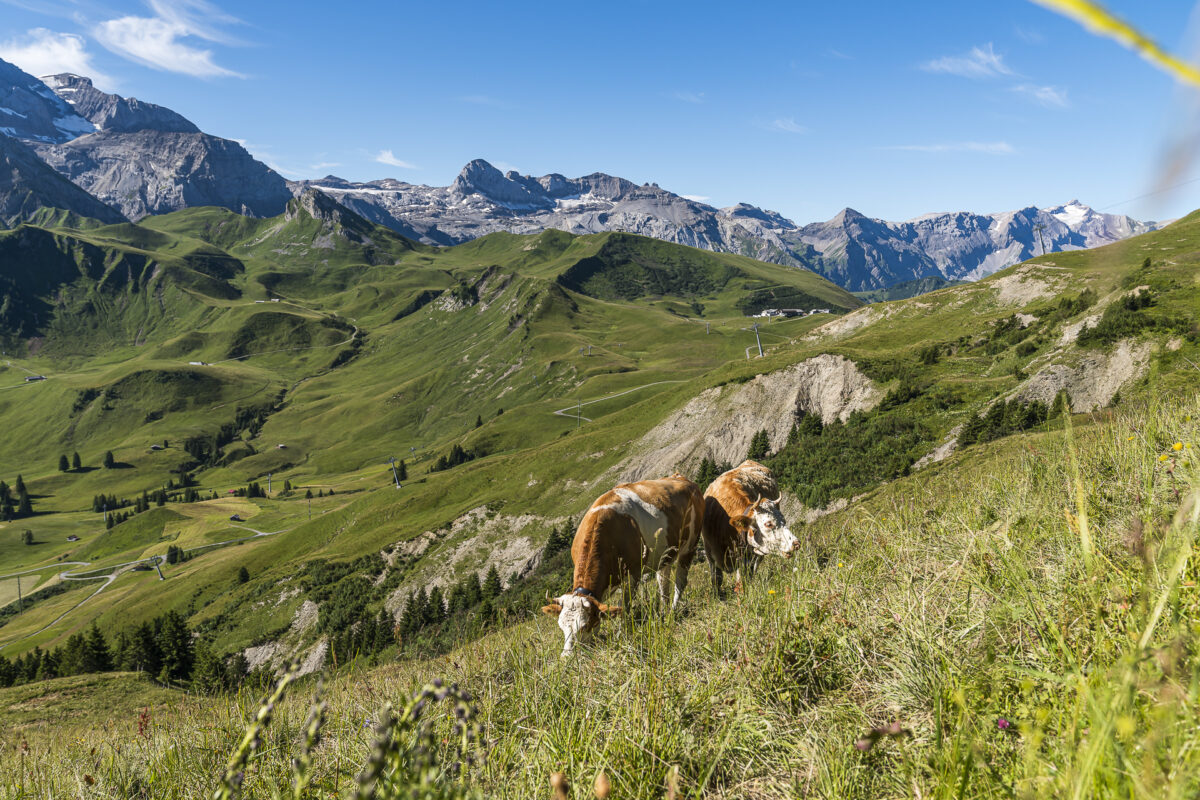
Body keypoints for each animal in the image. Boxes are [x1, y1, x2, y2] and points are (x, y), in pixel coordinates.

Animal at [542, 474, 700, 657]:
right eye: (561, 626)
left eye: (584, 626)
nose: (567, 657)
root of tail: (680, 477)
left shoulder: (634, 574)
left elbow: (625, 606)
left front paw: (620, 634)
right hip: (666, 555)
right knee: (663, 584)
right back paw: (665, 611)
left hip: (690, 545)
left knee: (680, 581)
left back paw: (673, 610)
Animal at [700, 462, 801, 594]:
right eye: (768, 524)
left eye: (784, 521)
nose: (796, 543)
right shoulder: (710, 554)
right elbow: (716, 580)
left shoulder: (745, 558)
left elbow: (741, 582)